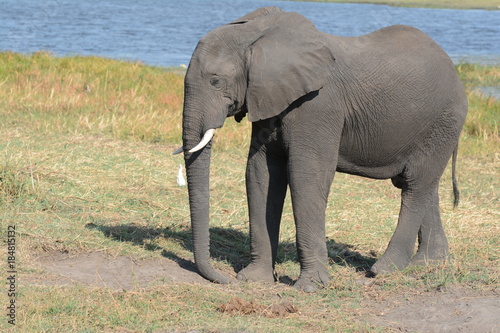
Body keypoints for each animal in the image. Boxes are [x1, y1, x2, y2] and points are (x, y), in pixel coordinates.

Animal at [174, 5, 466, 290]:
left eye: (215, 81)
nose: (225, 279)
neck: (258, 33)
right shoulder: (268, 97)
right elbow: (261, 173)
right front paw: (255, 280)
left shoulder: (318, 105)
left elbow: (306, 175)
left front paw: (309, 287)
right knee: (421, 184)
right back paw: (427, 263)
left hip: (443, 121)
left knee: (416, 185)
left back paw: (383, 270)